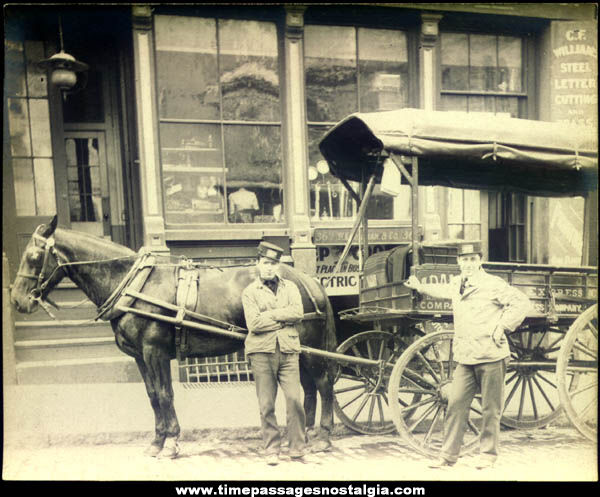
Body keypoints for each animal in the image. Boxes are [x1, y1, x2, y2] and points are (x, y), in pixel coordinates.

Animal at [9, 217, 338, 458]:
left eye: (34, 256)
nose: (16, 301)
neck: (133, 284)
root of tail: (310, 280)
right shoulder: (141, 356)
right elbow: (153, 396)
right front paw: (157, 441)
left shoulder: (154, 352)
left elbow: (166, 394)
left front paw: (171, 442)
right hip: (299, 349)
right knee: (308, 388)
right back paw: (305, 433)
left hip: (309, 348)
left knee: (323, 385)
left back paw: (323, 435)